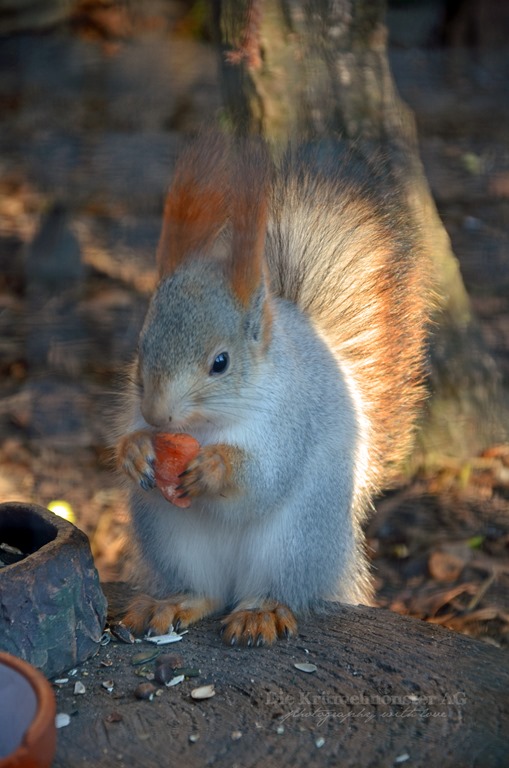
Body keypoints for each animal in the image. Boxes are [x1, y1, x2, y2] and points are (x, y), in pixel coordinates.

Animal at [114, 136, 428, 648]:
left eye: (221, 363)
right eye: (141, 349)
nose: (159, 417)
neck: (207, 426)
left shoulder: (290, 419)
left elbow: (265, 477)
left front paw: (216, 468)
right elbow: (129, 437)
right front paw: (136, 450)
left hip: (294, 541)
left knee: (275, 589)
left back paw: (259, 613)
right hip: (173, 539)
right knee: (204, 591)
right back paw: (172, 602)